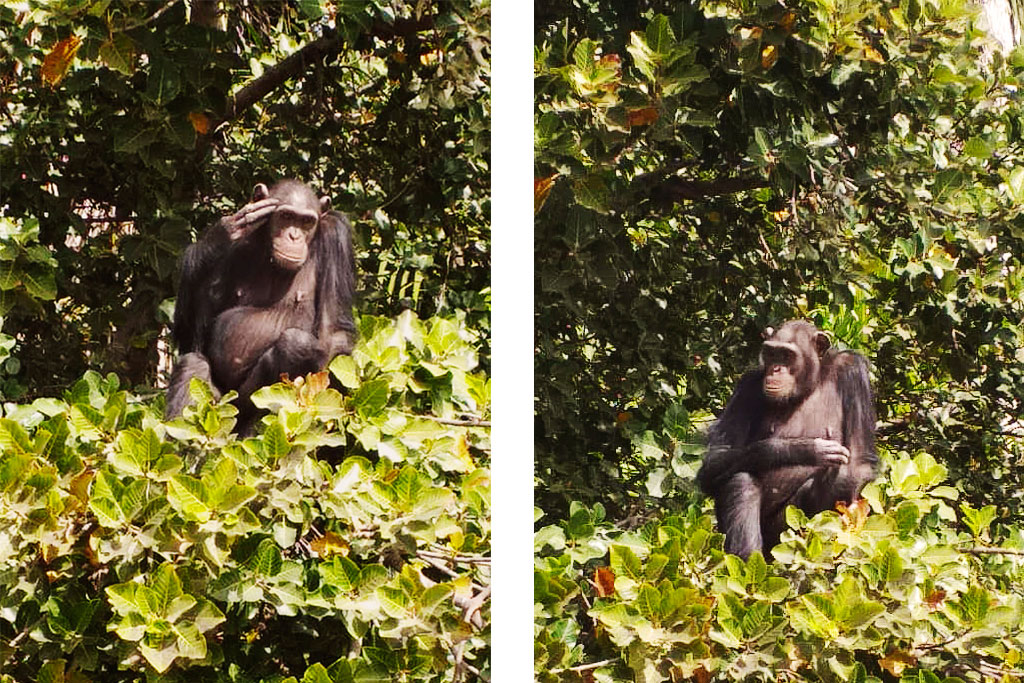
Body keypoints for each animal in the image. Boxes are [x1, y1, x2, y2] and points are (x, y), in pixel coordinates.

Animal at [165, 176, 358, 432]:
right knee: (193, 364)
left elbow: (333, 330)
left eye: (307, 222)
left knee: (296, 344)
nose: (294, 236)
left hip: (243, 405)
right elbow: (191, 338)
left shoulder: (337, 236)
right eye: (286, 216)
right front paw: (224, 234)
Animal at [696, 321, 880, 561]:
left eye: (786, 355)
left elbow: (857, 463)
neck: (811, 383)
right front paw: (806, 449)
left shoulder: (853, 371)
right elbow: (714, 460)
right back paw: (747, 560)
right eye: (771, 353)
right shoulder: (747, 385)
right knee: (740, 482)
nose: (775, 369)